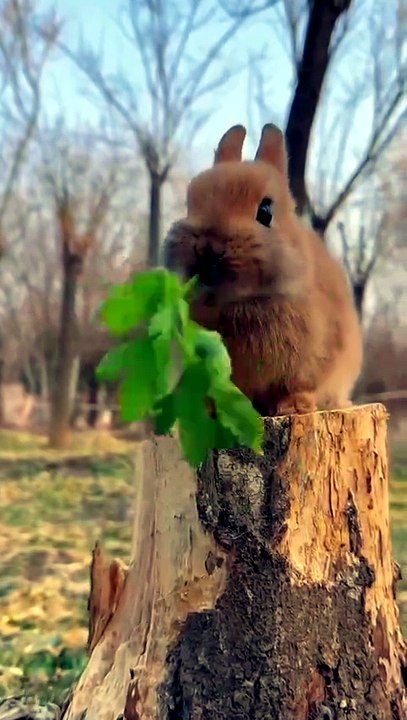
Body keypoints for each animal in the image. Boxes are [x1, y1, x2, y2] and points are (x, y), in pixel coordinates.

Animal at [162, 123, 363, 417]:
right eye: (191, 203)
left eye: (266, 211)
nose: (209, 246)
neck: (241, 301)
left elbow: (298, 385)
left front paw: (294, 407)